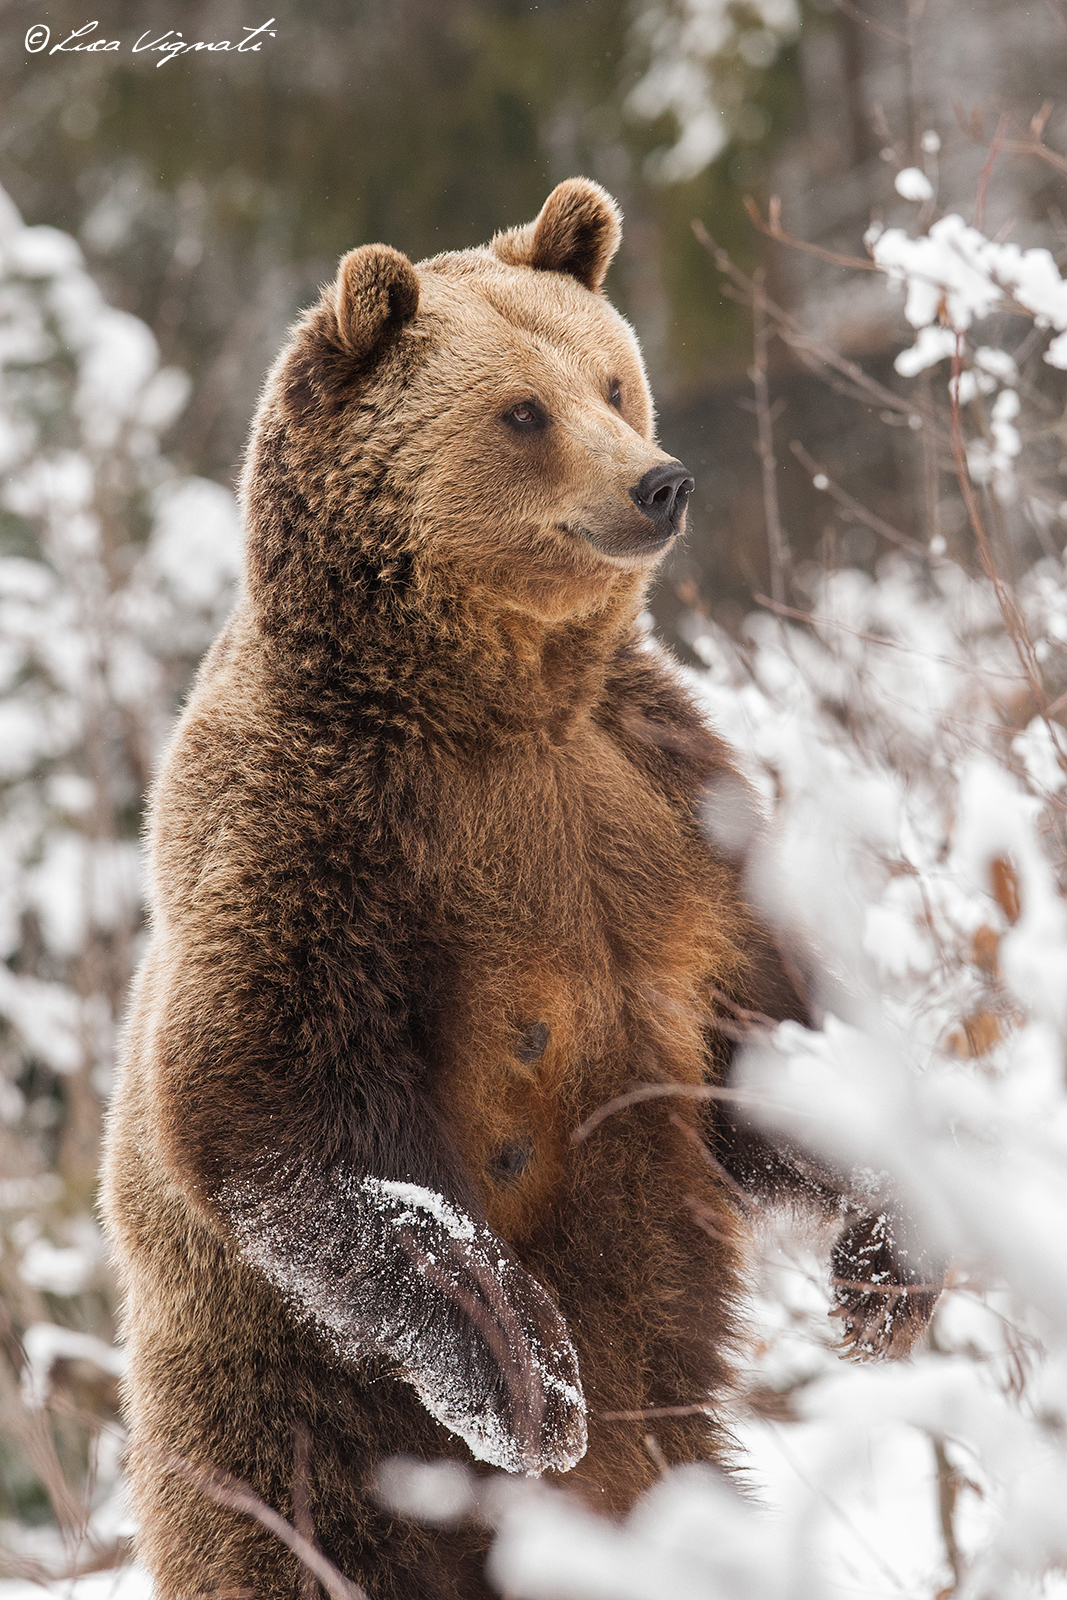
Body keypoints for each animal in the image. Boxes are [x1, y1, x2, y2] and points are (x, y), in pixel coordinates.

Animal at [102, 178, 941, 1600]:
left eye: (609, 378)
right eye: (520, 410)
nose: (659, 481)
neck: (494, 707)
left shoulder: (654, 802)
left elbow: (761, 1037)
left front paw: (884, 1264)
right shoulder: (319, 835)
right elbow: (273, 1104)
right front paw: (525, 1371)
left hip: (671, 1467)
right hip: (285, 1417)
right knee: (294, 1538)